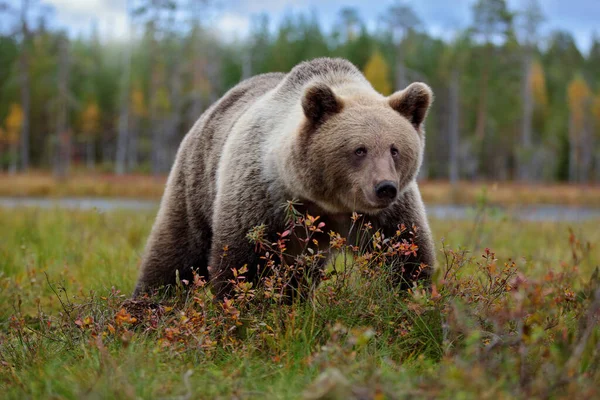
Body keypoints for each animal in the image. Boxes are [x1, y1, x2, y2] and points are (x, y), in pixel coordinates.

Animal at [134, 57, 436, 298]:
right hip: (197, 179)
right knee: (177, 250)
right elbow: (243, 264)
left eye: (395, 149)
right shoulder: (261, 196)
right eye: (359, 149)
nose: (384, 187)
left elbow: (405, 256)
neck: (327, 201)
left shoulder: (386, 214)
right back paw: (150, 301)